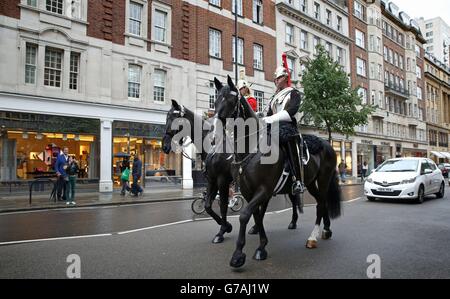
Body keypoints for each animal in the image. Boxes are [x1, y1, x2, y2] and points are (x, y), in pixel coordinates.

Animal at [160, 99, 304, 245]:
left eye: (174, 118)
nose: (164, 146)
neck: (213, 145)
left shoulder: (222, 179)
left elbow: (223, 205)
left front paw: (223, 231)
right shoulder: (212, 180)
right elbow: (207, 205)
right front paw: (226, 226)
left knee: (291, 198)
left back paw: (292, 222)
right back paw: (257, 227)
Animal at [216, 76, 342, 268]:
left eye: (231, 99)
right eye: (216, 99)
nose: (216, 124)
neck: (252, 149)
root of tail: (327, 144)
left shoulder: (264, 190)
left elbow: (245, 215)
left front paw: (238, 255)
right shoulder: (249, 192)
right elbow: (257, 216)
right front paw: (261, 247)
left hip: (324, 179)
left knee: (321, 204)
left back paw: (312, 238)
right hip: (311, 182)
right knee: (322, 202)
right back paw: (326, 230)